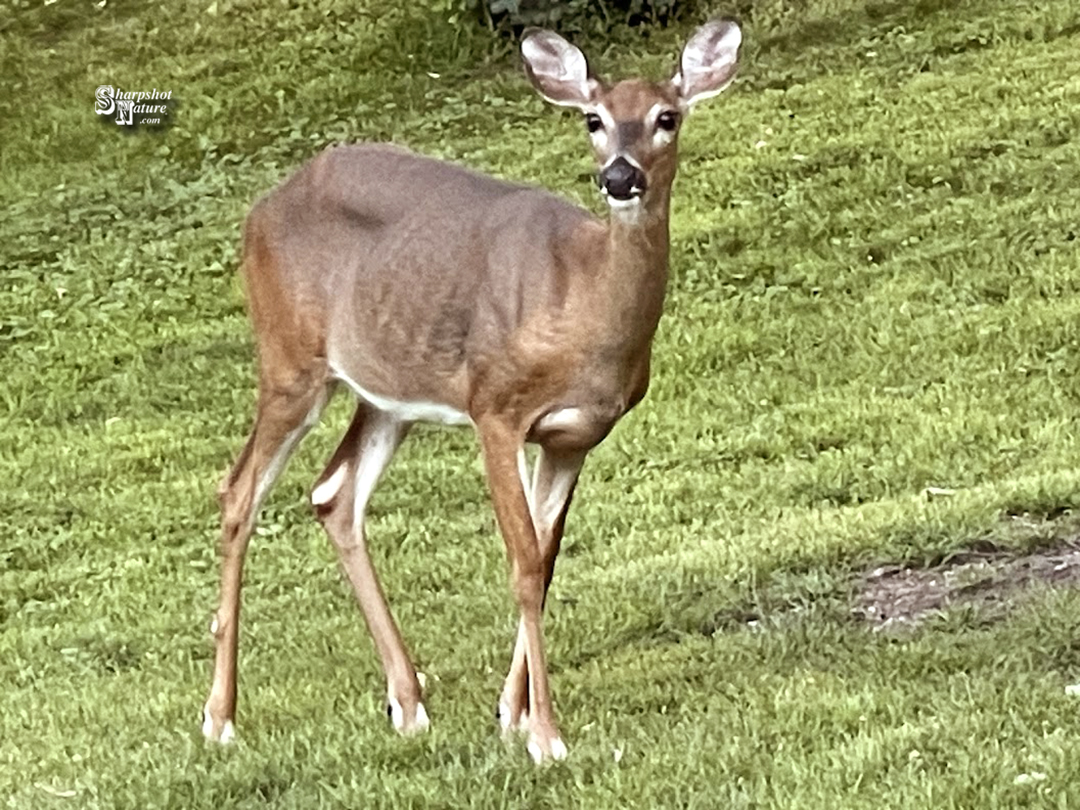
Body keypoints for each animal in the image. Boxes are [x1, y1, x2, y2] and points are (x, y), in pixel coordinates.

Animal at [203, 20, 743, 768]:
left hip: (387, 393)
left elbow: (545, 562)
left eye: (668, 117)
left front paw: (512, 715)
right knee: (239, 493)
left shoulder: (574, 436)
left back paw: (407, 703)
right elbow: (522, 564)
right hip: (289, 362)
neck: (581, 302)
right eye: (594, 119)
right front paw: (546, 736)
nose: (620, 177)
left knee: (334, 493)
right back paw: (220, 718)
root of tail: (257, 212)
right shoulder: (496, 407)